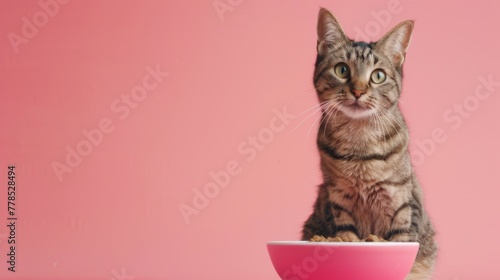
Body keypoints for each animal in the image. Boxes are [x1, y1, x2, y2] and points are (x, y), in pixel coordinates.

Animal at [300, 7, 438, 278]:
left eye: (378, 76)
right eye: (342, 70)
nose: (358, 91)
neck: (360, 141)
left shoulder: (401, 202)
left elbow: (401, 240)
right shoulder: (339, 201)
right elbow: (348, 236)